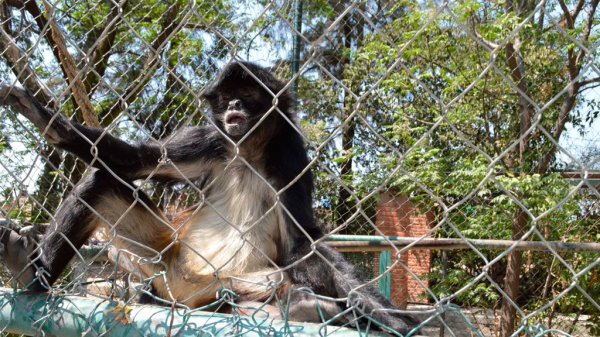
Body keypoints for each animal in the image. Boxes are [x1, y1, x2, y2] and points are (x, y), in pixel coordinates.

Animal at [0, 62, 420, 334]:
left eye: (247, 95)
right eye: (227, 98)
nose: (233, 107)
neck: (247, 150)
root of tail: (183, 291)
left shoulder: (289, 152)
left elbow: (303, 245)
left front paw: (392, 319)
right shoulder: (212, 140)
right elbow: (138, 162)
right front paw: (46, 117)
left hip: (215, 284)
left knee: (276, 282)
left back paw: (309, 308)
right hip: (164, 259)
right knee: (98, 183)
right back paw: (29, 272)